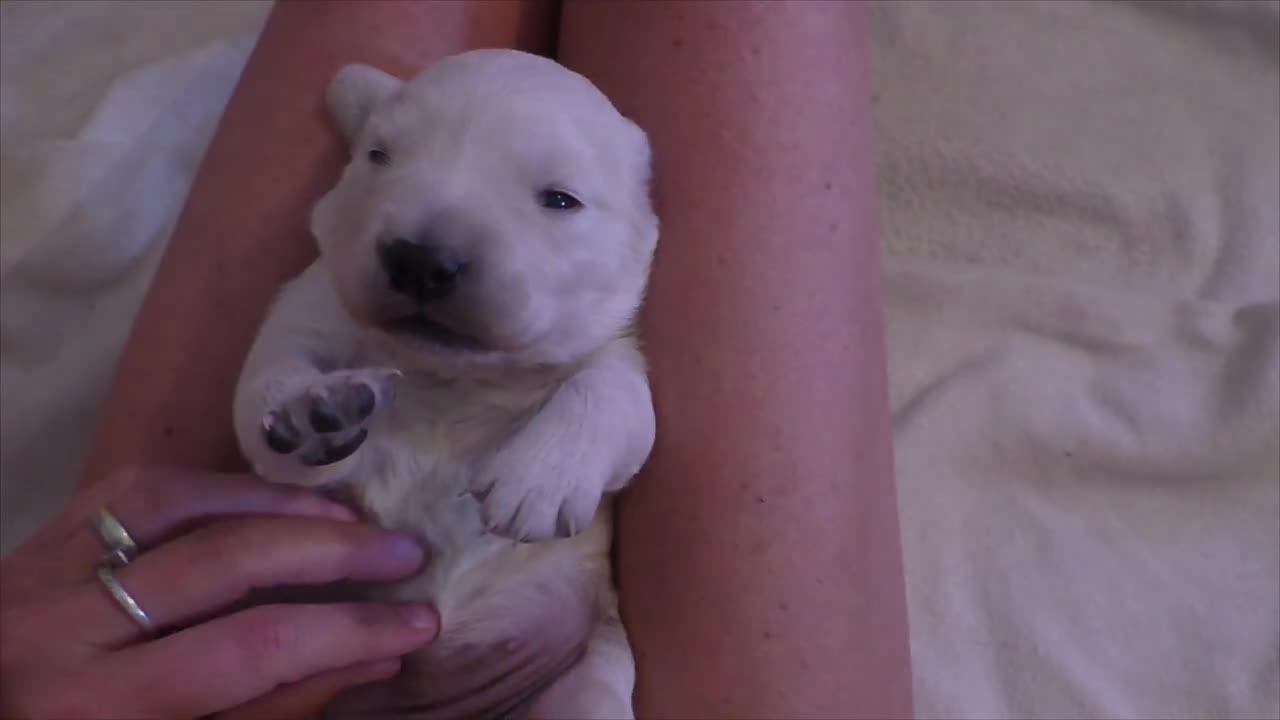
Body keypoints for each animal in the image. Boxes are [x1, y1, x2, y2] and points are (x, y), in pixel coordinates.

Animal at [227, 47, 660, 712]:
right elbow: (270, 373)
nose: (421, 262)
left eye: (561, 199)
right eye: (379, 155)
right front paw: (310, 413)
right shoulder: (311, 303)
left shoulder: (611, 343)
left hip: (586, 671)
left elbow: (614, 390)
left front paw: (539, 479)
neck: (451, 375)